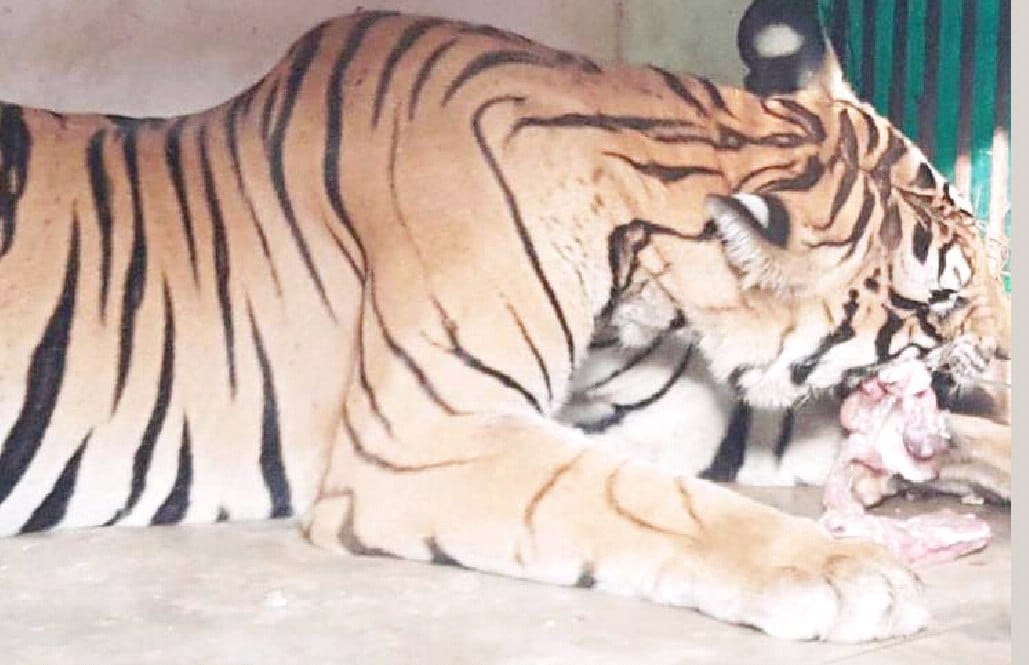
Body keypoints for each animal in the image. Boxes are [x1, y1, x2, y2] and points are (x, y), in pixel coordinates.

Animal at [0, 5, 1009, 644]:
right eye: (938, 298)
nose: (1004, 348)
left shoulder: (655, 410)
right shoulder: (423, 438)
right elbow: (646, 499)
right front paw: (846, 572)